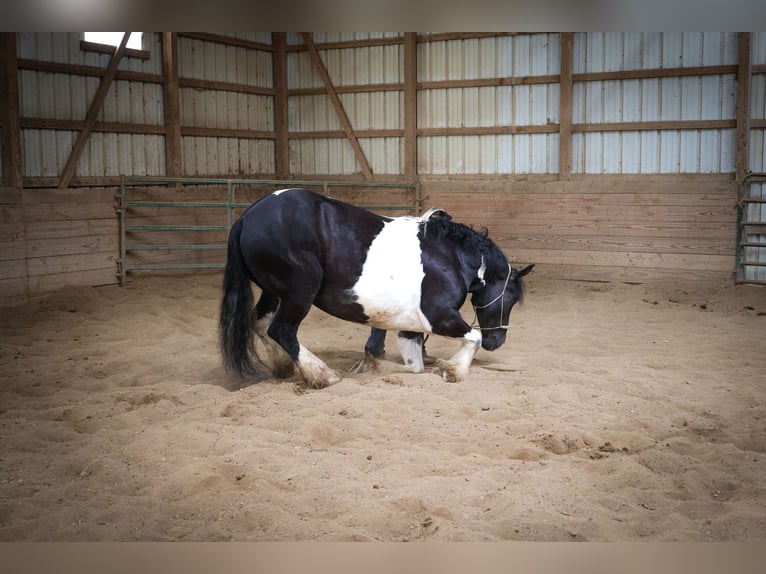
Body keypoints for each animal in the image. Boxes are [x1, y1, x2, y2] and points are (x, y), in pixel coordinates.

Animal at [219, 189, 536, 392]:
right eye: (509, 298)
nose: (498, 341)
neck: (449, 257)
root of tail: (248, 216)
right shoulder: (439, 317)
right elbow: (473, 337)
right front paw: (453, 370)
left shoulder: (410, 327)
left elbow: (414, 366)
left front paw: (380, 367)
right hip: (299, 293)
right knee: (282, 331)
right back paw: (322, 375)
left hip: (275, 292)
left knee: (261, 324)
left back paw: (284, 367)